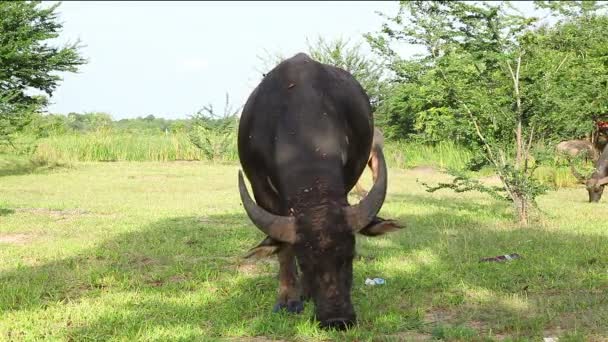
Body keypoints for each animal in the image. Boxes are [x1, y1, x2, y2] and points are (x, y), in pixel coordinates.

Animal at [235, 52, 402, 328]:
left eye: (350, 255)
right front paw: (289, 298)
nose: (337, 319)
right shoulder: (261, 190)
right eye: (304, 261)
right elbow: (283, 250)